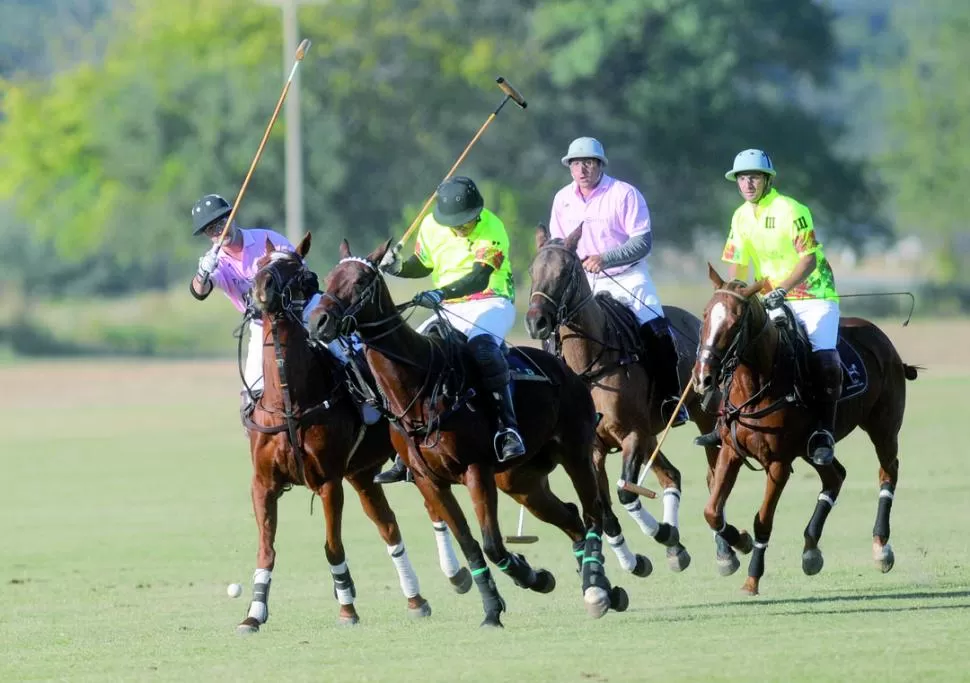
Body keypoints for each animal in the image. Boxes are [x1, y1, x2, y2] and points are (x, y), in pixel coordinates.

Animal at [238, 234, 472, 636]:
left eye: (297, 269)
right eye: (262, 264)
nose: (261, 289)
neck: (289, 400)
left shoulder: (329, 481)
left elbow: (333, 547)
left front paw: (346, 608)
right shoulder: (263, 483)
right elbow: (266, 549)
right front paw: (253, 613)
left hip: (401, 465)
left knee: (430, 510)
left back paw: (455, 575)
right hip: (362, 474)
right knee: (390, 526)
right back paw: (416, 599)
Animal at [310, 238, 628, 628]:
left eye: (359, 282)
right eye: (329, 277)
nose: (318, 321)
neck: (420, 384)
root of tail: (565, 369)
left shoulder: (475, 470)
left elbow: (492, 544)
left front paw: (521, 581)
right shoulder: (429, 481)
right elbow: (470, 544)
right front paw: (504, 599)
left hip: (576, 452)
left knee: (593, 513)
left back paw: (597, 587)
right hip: (520, 479)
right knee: (570, 516)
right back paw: (601, 587)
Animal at [520, 224, 720, 572]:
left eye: (567, 270)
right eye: (533, 270)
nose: (536, 322)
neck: (590, 367)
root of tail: (695, 320)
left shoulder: (631, 434)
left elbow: (627, 493)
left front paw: (661, 533)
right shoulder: (594, 449)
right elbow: (604, 507)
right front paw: (633, 560)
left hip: (701, 416)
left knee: (711, 473)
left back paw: (725, 550)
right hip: (652, 433)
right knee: (671, 475)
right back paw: (677, 550)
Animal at [688, 264, 916, 596]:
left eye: (734, 322)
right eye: (705, 315)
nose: (703, 378)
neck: (756, 384)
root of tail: (878, 334)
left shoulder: (778, 464)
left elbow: (763, 521)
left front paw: (752, 579)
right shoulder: (731, 451)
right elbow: (711, 511)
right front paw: (739, 543)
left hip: (883, 426)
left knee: (888, 472)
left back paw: (880, 547)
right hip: (812, 448)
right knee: (835, 476)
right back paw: (810, 550)